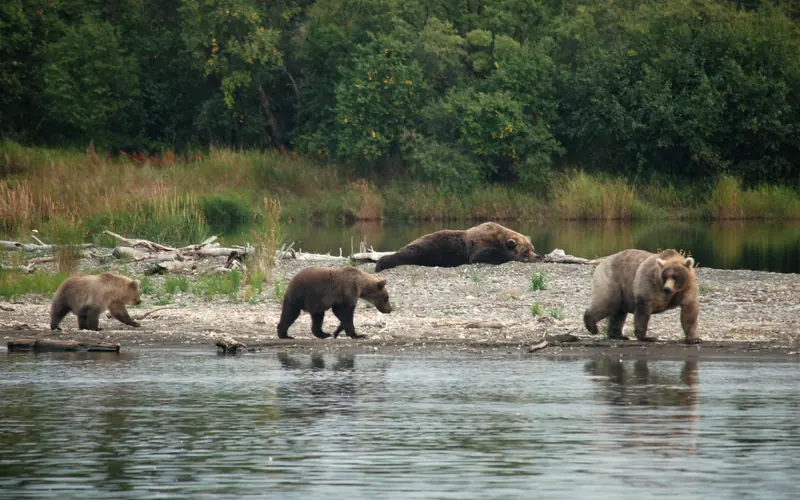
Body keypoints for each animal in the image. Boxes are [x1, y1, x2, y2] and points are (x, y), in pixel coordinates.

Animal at [374, 222, 542, 272]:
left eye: (532, 248)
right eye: (526, 250)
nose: (538, 256)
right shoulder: (480, 243)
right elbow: (484, 254)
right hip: (429, 247)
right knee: (407, 253)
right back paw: (381, 264)